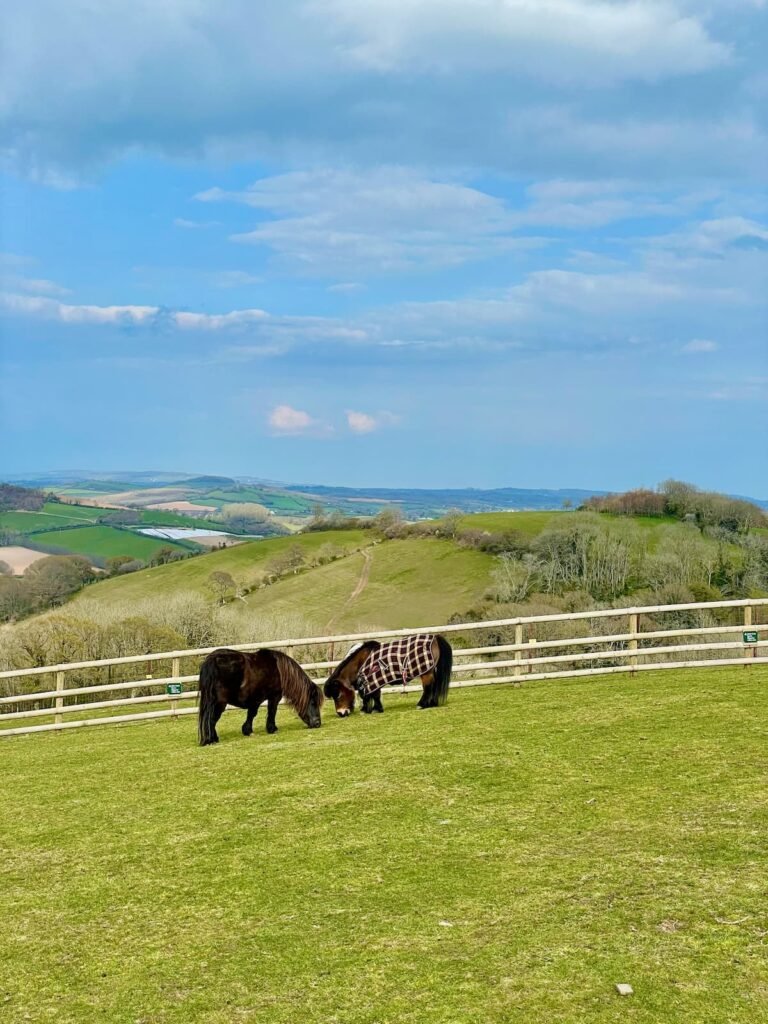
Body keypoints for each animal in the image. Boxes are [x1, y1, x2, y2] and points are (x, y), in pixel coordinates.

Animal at [323, 630, 454, 720]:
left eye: (338, 694)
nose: (341, 713)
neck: (362, 660)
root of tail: (435, 638)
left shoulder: (371, 680)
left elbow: (372, 695)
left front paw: (372, 709)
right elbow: (372, 695)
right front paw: (372, 709)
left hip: (426, 672)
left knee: (427, 688)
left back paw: (422, 704)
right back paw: (432, 703)